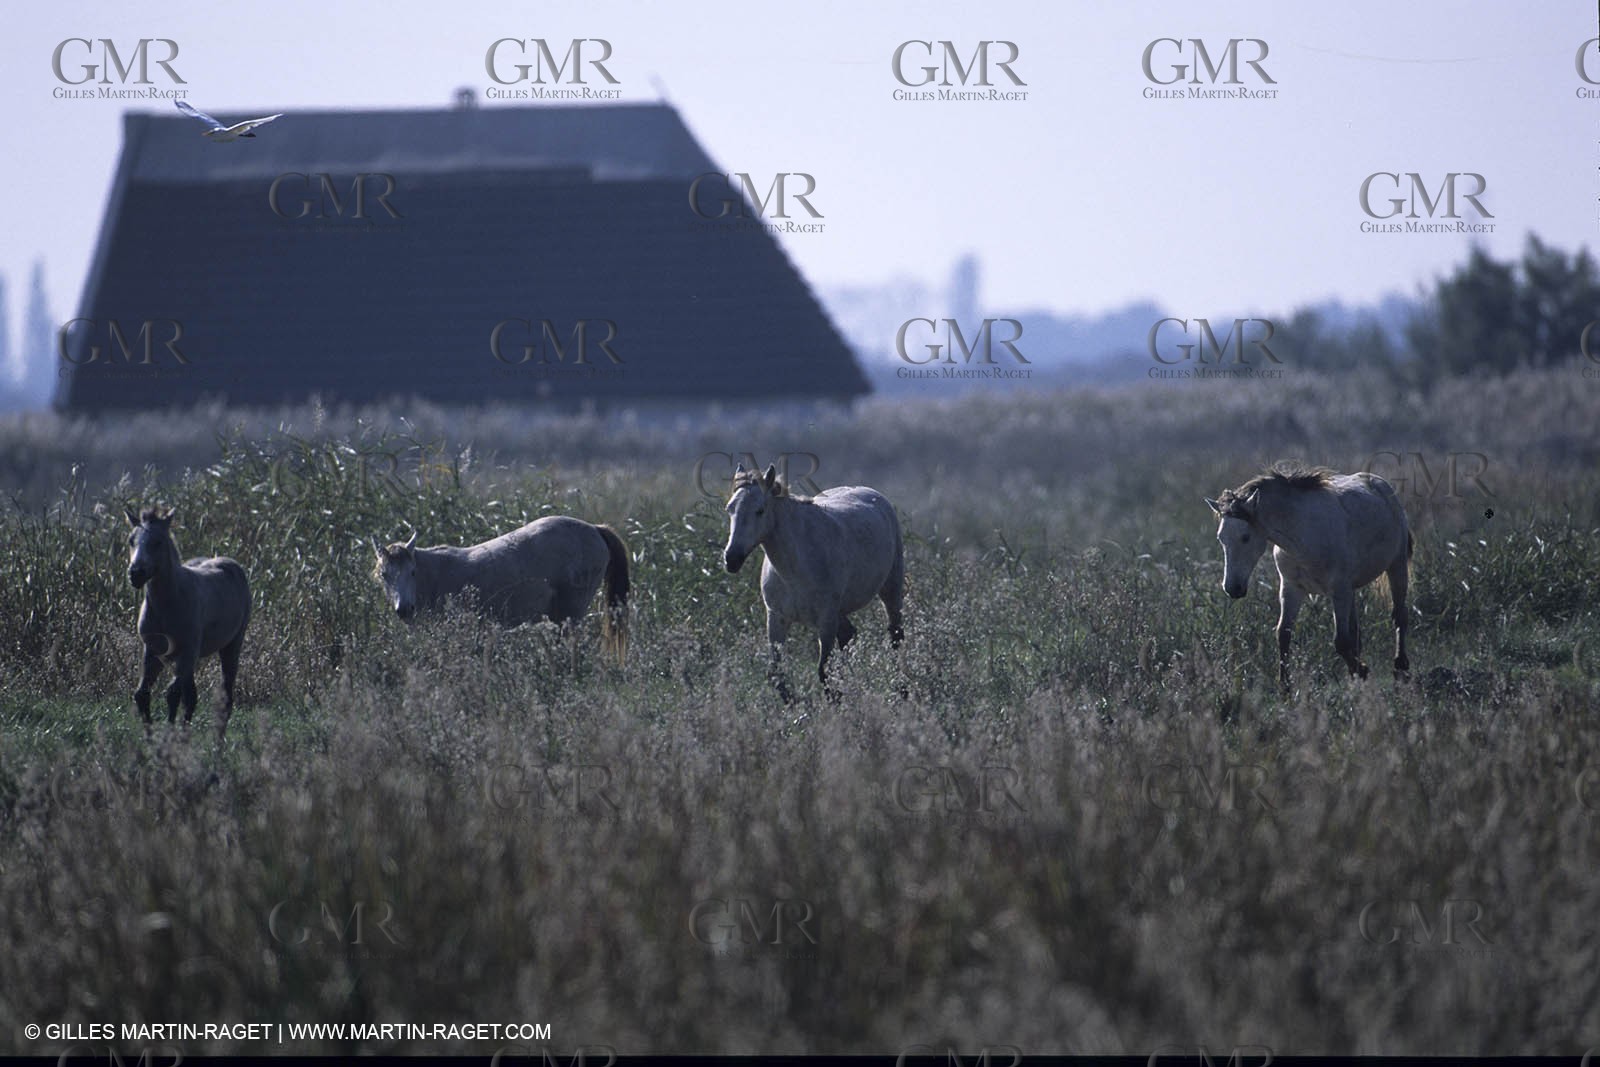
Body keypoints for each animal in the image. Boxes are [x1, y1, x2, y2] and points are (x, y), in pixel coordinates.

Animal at [125, 507, 251, 737]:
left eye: (157, 542)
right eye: (131, 540)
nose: (136, 574)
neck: (168, 604)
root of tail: (230, 563)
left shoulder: (187, 651)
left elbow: (172, 694)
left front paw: (168, 737)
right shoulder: (153, 651)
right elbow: (142, 694)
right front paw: (150, 738)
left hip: (231, 645)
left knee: (226, 697)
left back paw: (218, 741)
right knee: (191, 697)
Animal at [370, 515, 630, 661]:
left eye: (412, 572)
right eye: (384, 575)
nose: (404, 609)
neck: (436, 574)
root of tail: (595, 528)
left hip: (570, 613)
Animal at [722, 462, 905, 697]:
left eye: (760, 510)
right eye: (730, 508)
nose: (731, 559)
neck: (793, 571)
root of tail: (874, 495)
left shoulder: (825, 620)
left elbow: (824, 673)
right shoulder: (776, 618)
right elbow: (776, 675)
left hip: (890, 590)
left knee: (895, 636)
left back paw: (901, 689)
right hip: (839, 611)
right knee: (849, 635)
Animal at [1206, 463, 1413, 688]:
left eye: (1245, 537)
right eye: (1220, 538)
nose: (1232, 588)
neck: (1303, 537)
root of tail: (1381, 485)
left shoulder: (1338, 590)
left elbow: (1340, 641)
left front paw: (1362, 670)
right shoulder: (1291, 589)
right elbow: (1283, 634)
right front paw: (1285, 688)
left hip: (1396, 566)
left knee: (1399, 616)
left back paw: (1401, 668)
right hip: (1351, 590)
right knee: (1357, 634)